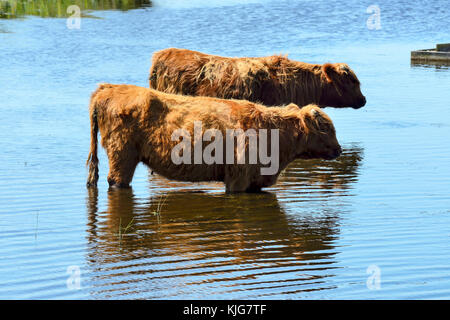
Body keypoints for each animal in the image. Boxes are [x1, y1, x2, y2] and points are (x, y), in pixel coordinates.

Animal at [87, 84, 342, 191]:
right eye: (326, 128)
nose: (339, 150)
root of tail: (107, 88)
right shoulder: (238, 179)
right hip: (122, 157)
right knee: (116, 181)